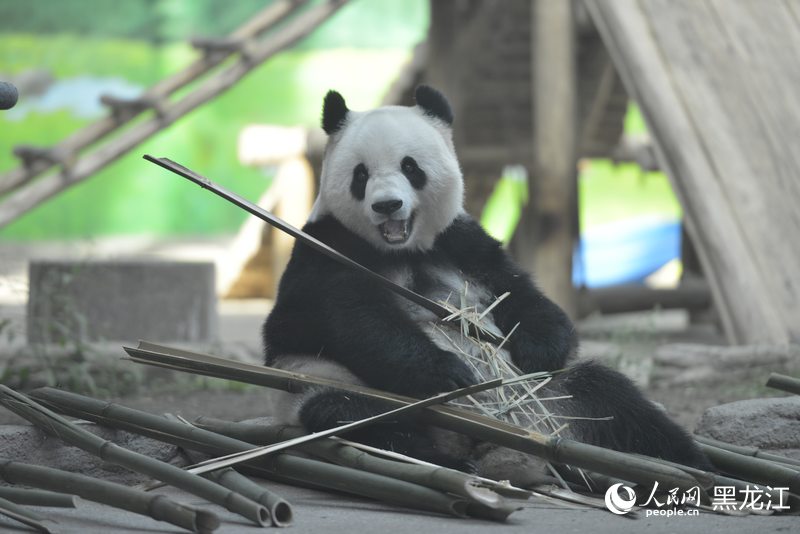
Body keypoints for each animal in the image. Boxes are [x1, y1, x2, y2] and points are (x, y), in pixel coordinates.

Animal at [260, 87, 708, 486]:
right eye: (361, 174)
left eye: (410, 167)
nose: (387, 205)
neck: (402, 249)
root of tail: (498, 443)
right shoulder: (327, 250)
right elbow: (349, 318)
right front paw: (449, 373)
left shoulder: (461, 242)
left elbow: (518, 293)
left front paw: (540, 347)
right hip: (322, 385)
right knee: (350, 415)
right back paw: (449, 463)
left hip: (552, 397)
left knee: (613, 400)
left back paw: (689, 466)